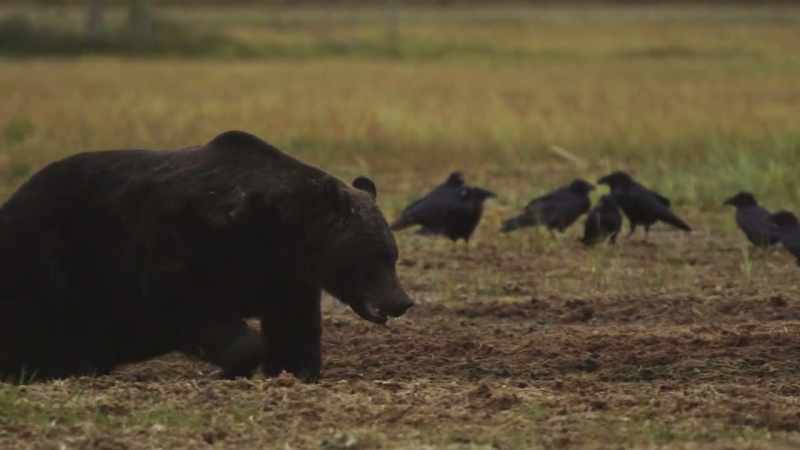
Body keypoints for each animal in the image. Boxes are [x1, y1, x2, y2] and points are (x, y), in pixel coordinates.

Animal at [0, 130, 413, 382]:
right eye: (375, 256)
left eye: (393, 254)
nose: (402, 300)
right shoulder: (185, 246)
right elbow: (189, 305)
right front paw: (235, 365)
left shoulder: (284, 274)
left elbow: (293, 324)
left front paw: (294, 370)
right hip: (51, 257)